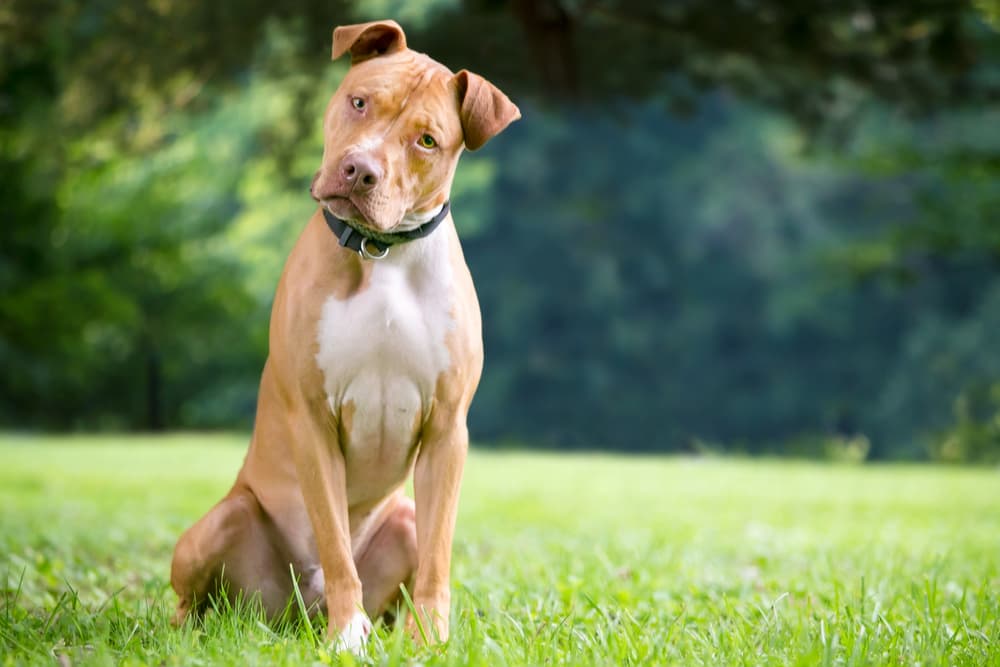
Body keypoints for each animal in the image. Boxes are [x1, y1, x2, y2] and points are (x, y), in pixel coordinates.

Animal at [169, 19, 520, 652]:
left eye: (426, 140)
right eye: (359, 102)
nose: (360, 170)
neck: (380, 252)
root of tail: (293, 615)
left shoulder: (446, 429)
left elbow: (437, 556)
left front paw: (430, 639)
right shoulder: (313, 420)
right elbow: (334, 543)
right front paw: (346, 634)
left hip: (402, 518)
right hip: (222, 524)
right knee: (192, 602)